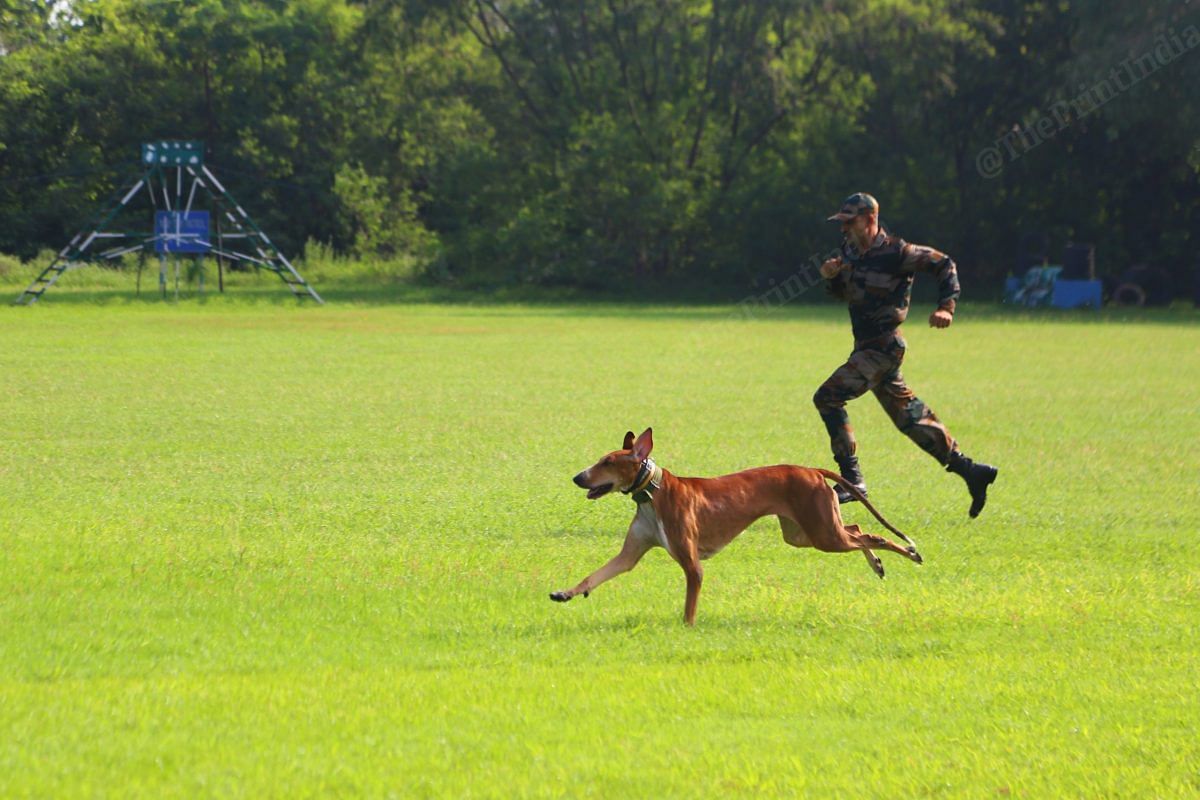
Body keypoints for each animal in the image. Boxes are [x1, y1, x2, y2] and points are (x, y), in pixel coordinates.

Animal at [549, 431, 921, 623]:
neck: (652, 493)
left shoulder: (692, 565)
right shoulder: (629, 555)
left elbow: (689, 607)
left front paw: (686, 630)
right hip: (803, 533)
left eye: (607, 462)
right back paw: (878, 563)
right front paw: (565, 592)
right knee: (858, 528)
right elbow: (595, 575)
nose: (577, 477)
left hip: (823, 533)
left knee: (874, 535)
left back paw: (907, 553)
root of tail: (812, 469)